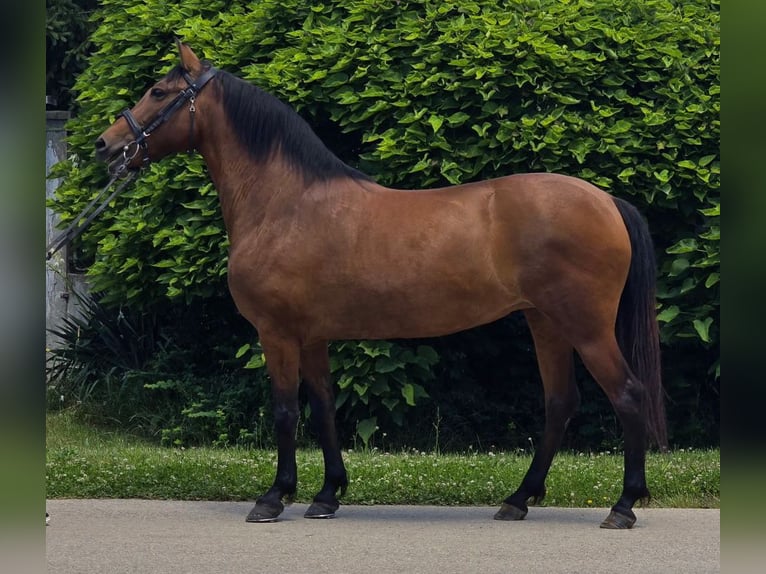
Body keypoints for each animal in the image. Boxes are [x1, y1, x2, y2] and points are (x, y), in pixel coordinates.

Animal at [97, 42, 664, 532]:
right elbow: (323, 407)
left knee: (629, 394)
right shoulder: (312, 336)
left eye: (159, 92)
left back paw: (622, 506)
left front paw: (274, 497)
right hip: (545, 322)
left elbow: (284, 411)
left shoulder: (276, 333)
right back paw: (518, 500)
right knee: (560, 403)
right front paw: (327, 496)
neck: (284, 203)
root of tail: (607, 201)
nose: (107, 146)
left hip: (586, 326)